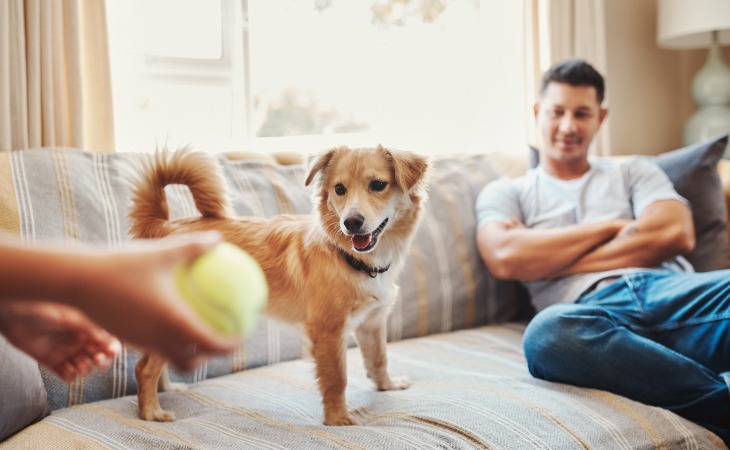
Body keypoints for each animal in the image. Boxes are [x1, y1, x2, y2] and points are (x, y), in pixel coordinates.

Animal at [129, 144, 430, 426]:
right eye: (339, 189)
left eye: (378, 185)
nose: (351, 222)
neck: (351, 258)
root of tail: (163, 226)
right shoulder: (329, 331)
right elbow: (336, 377)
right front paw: (337, 418)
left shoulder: (373, 322)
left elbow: (379, 359)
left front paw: (387, 385)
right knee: (143, 368)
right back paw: (151, 411)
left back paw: (167, 389)